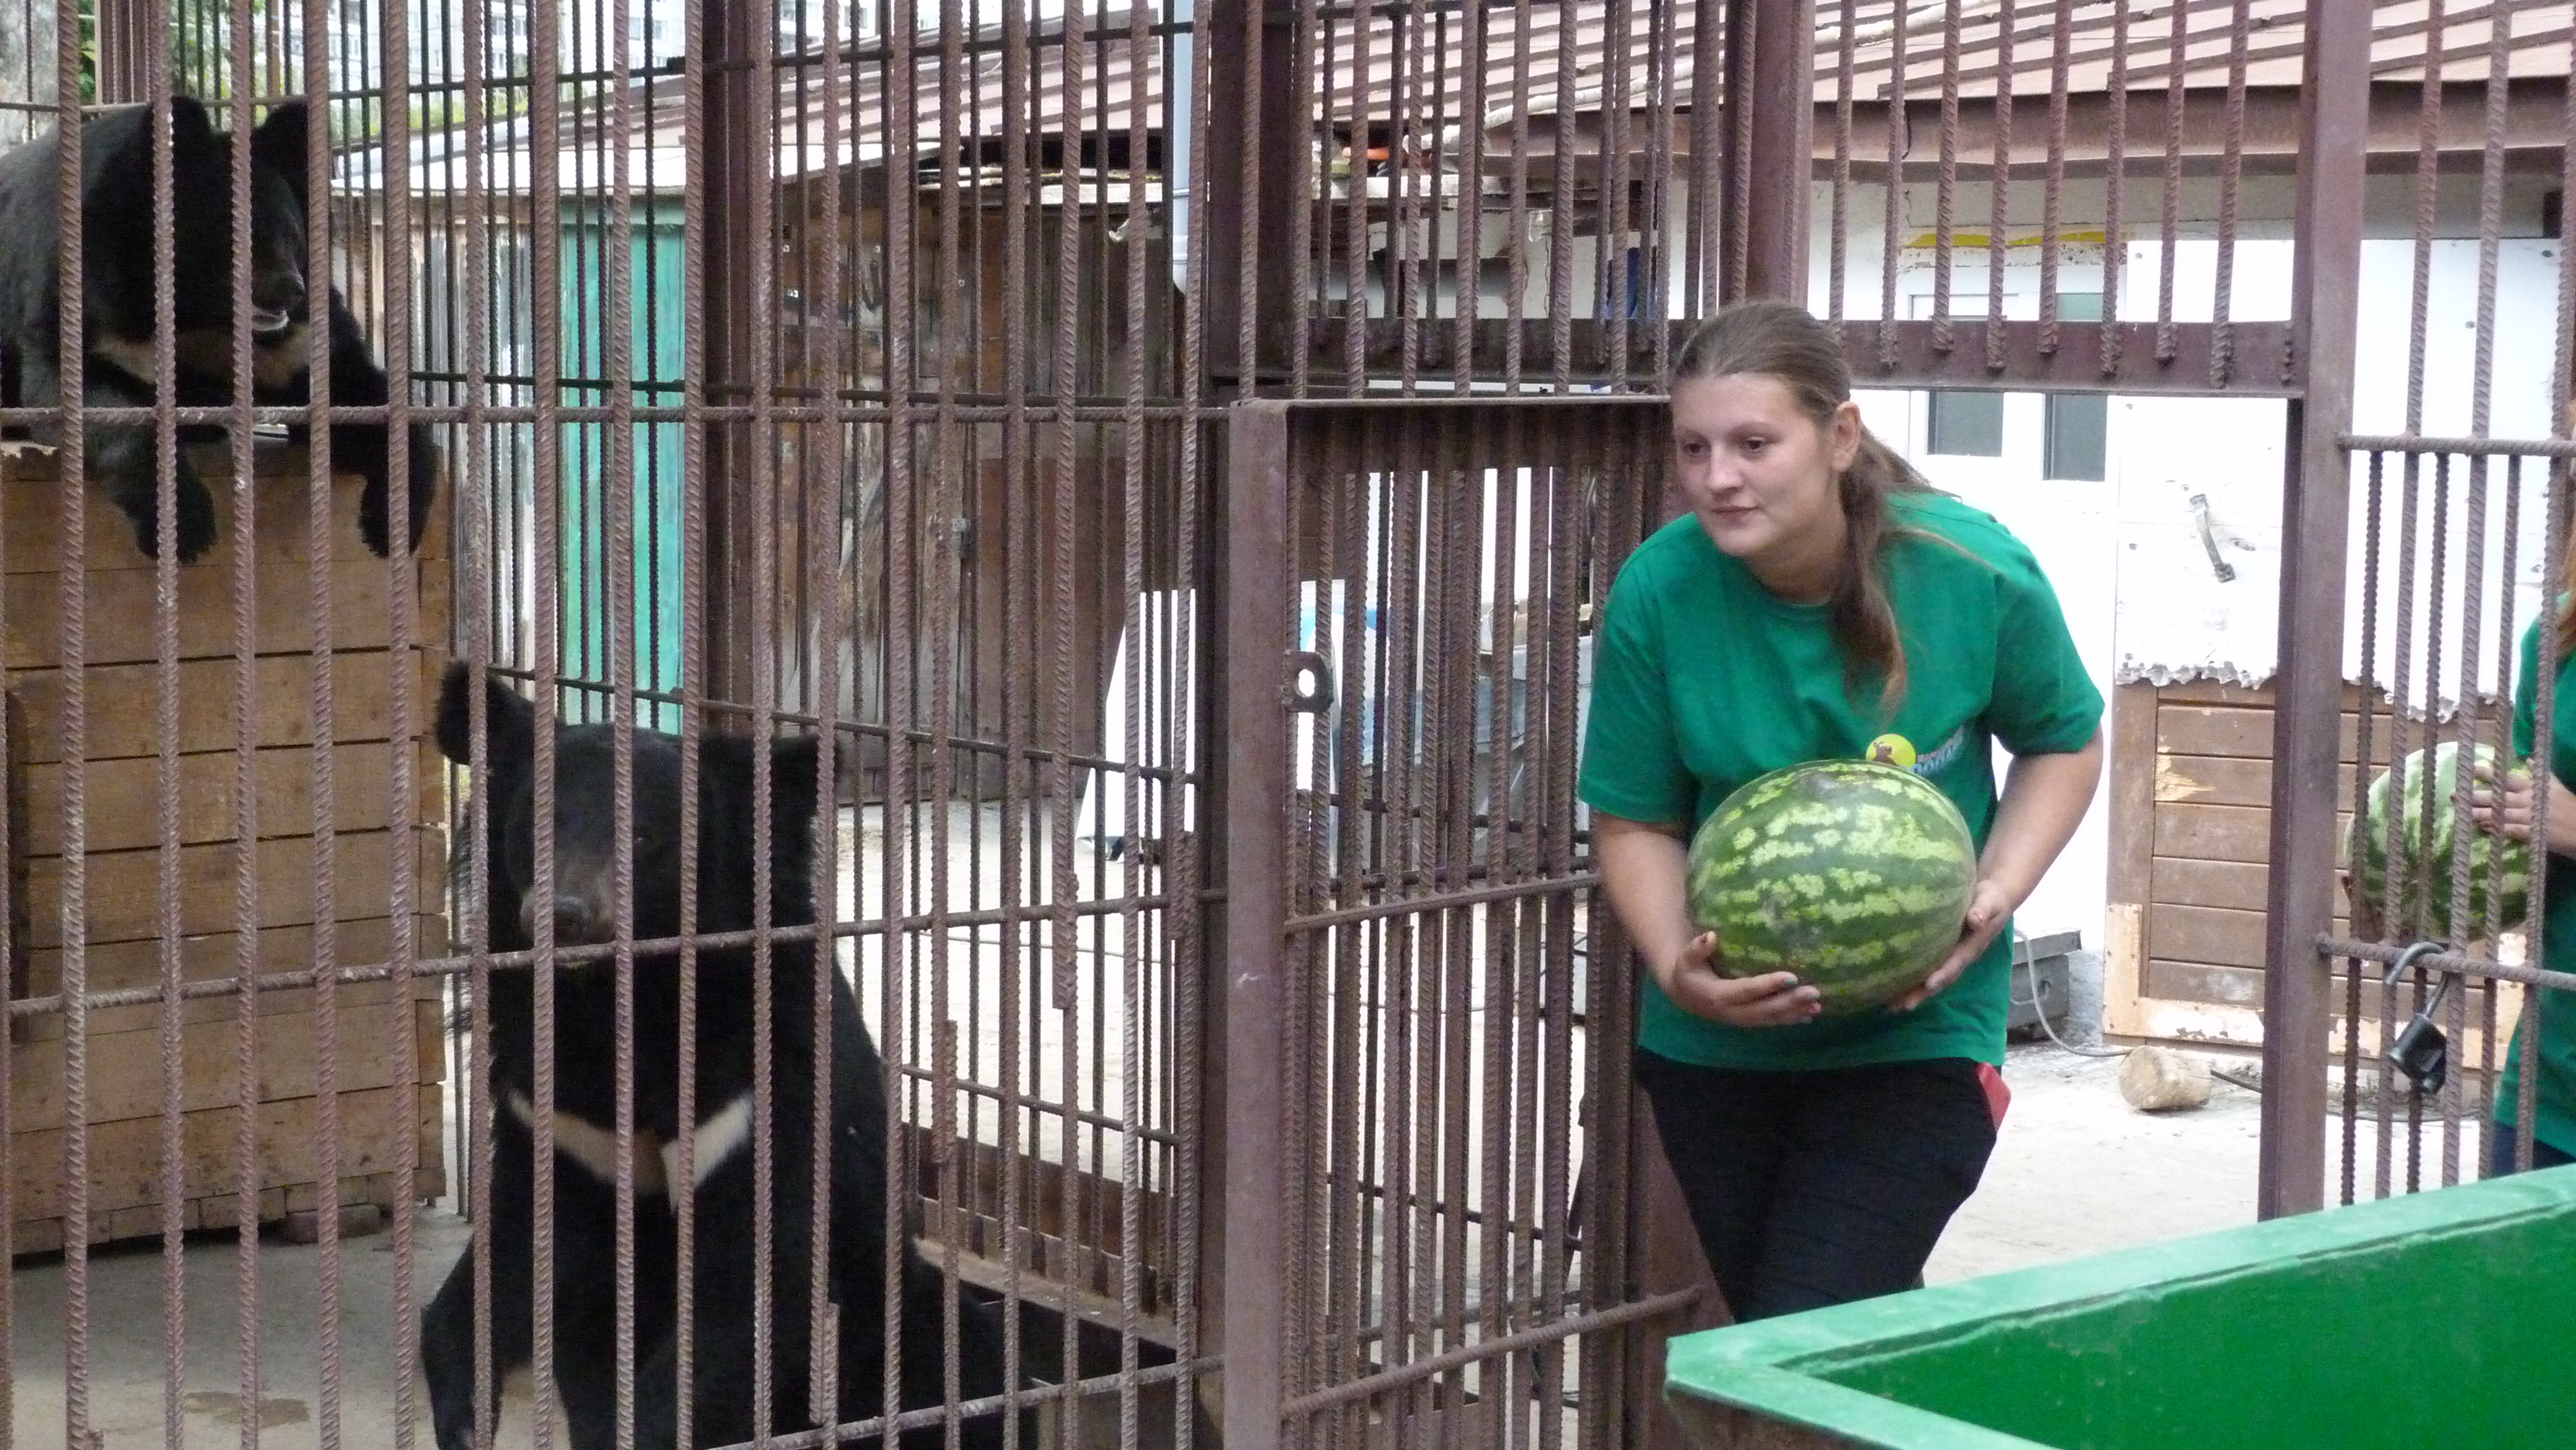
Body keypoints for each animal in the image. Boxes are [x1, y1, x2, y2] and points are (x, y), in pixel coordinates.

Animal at [0, 94, 439, 563]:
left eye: (292, 234)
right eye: (232, 240)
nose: (289, 291)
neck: (203, 314)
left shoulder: (293, 339)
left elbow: (352, 394)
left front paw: (390, 522)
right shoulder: (87, 289)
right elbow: (81, 394)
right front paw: (185, 529)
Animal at [419, 662, 1022, 1449]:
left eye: (646, 836)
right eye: (538, 822)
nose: (564, 915)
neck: (619, 999)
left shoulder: (755, 1093)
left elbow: (750, 1288)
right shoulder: (558, 1112)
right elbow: (519, 1244)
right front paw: (464, 1412)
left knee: (962, 1361)